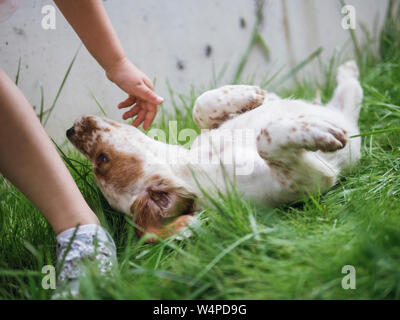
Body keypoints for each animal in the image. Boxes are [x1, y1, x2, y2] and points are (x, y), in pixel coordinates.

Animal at [68, 60, 362, 240]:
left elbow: (200, 106)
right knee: (352, 91)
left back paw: (346, 68)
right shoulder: (308, 180)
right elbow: (266, 138)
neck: (194, 164)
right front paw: (313, 131)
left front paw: (251, 94)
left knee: (350, 87)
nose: (70, 131)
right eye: (102, 159)